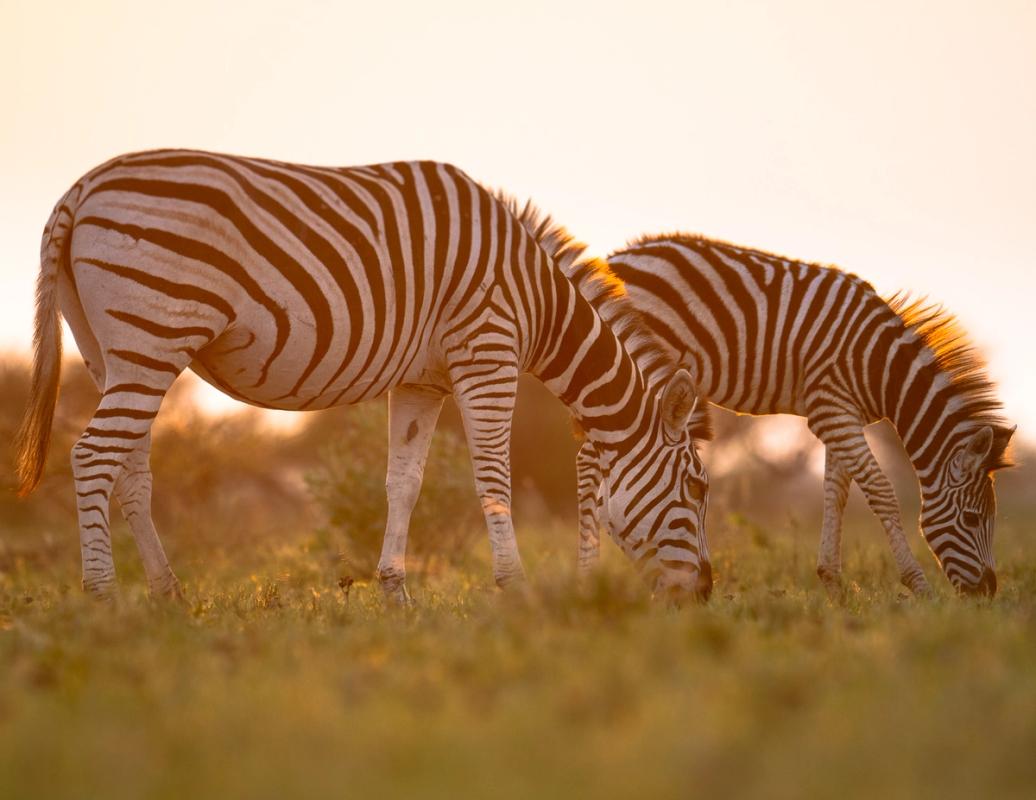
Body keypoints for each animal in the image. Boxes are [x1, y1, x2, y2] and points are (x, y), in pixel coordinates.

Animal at [16, 151, 716, 601]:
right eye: (698, 487)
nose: (705, 596)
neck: (536, 298)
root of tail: (79, 191)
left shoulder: (423, 380)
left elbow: (402, 482)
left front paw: (395, 595)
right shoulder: (486, 350)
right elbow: (493, 476)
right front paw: (514, 591)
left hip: (111, 352)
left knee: (129, 471)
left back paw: (167, 600)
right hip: (153, 334)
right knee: (92, 457)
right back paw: (105, 601)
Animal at [571, 234, 1015, 596]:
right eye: (972, 519)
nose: (987, 593)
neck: (880, 367)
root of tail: (614, 257)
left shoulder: (842, 414)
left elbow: (837, 493)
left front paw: (833, 584)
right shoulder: (831, 408)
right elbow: (881, 492)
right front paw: (917, 584)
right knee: (590, 459)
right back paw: (590, 574)